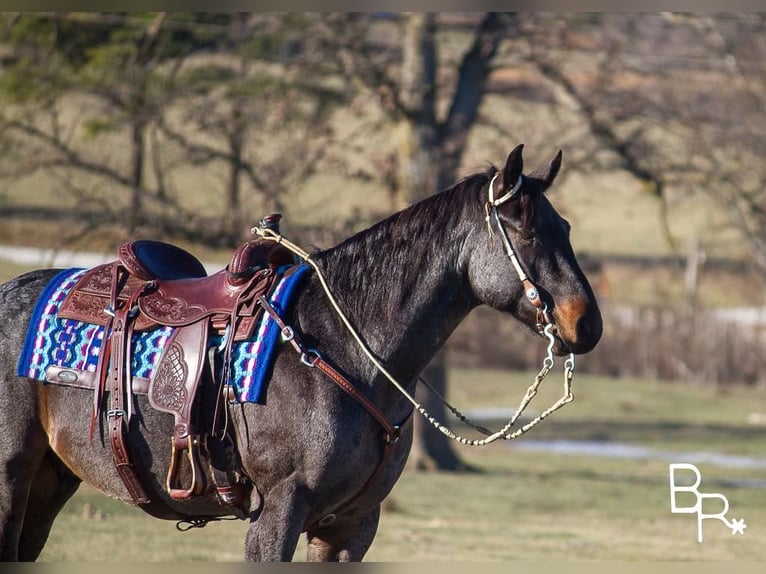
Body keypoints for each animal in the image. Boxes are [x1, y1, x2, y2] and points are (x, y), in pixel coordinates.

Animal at [0, 144, 604, 564]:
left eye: (566, 227)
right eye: (525, 231)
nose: (587, 324)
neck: (343, 346)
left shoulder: (351, 526)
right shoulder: (278, 513)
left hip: (49, 483)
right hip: (12, 479)